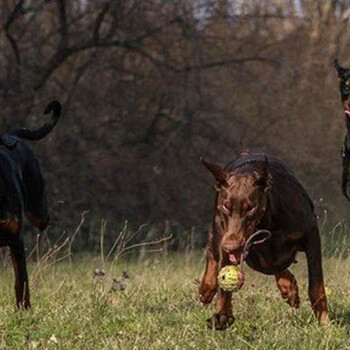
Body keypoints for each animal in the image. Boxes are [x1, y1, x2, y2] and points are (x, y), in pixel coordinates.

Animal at [198, 152, 330, 330]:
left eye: (250, 208)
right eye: (226, 206)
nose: (231, 246)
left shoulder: (311, 235)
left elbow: (316, 285)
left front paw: (324, 321)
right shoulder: (235, 242)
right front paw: (222, 315)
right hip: (220, 228)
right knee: (213, 250)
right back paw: (207, 287)